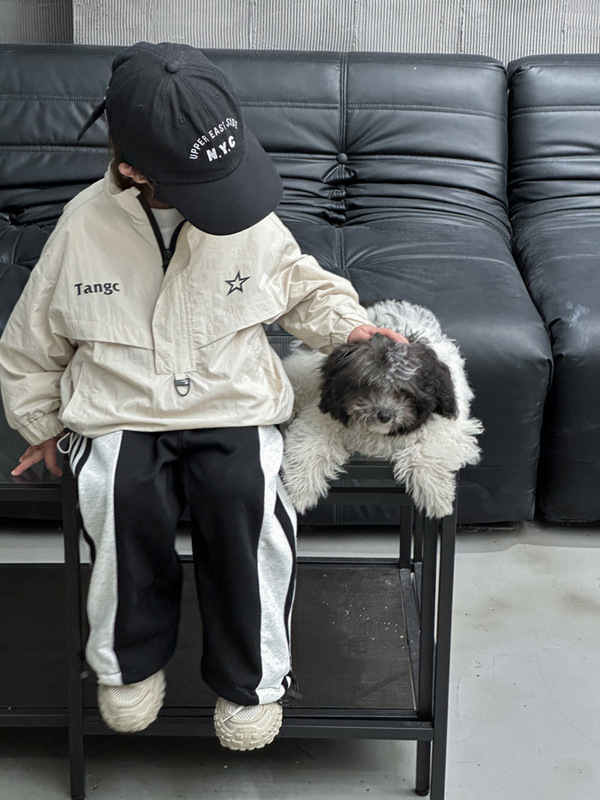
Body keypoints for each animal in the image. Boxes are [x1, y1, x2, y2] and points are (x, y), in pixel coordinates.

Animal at [281, 300, 483, 519]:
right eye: (367, 384)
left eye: (402, 390)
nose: (384, 415)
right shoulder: (320, 417)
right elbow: (311, 445)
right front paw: (301, 492)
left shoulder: (449, 428)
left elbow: (426, 451)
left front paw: (436, 497)